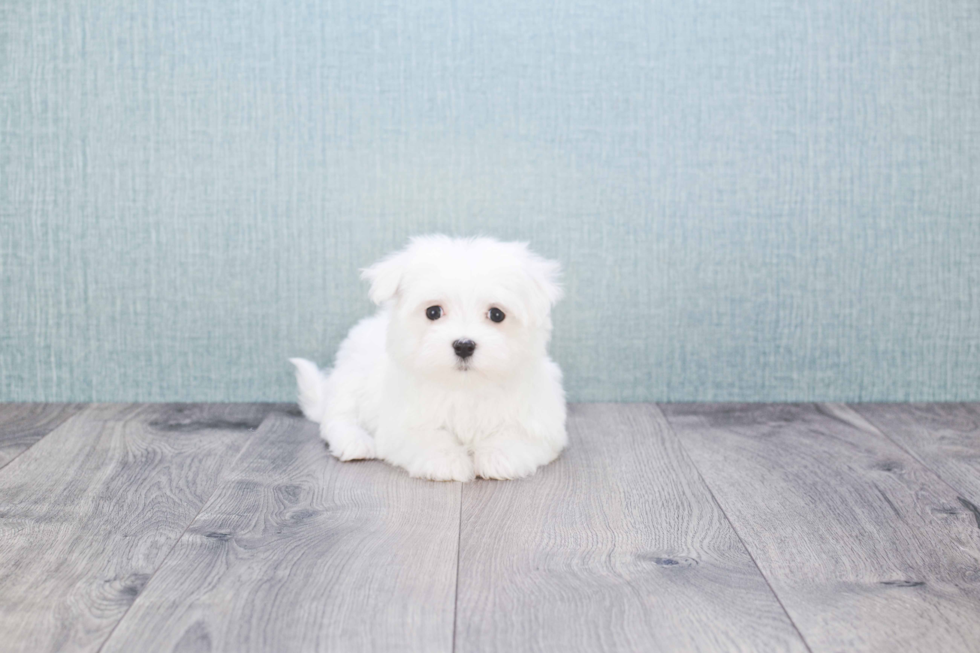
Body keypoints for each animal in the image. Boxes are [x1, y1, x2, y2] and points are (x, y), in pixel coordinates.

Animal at [290, 234, 568, 478]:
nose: (464, 345)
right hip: (351, 379)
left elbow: (516, 435)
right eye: (433, 312)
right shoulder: (402, 422)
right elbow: (428, 437)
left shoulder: (539, 419)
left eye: (497, 314)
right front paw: (448, 461)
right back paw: (355, 442)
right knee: (338, 417)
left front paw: (498, 457)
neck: (465, 387)